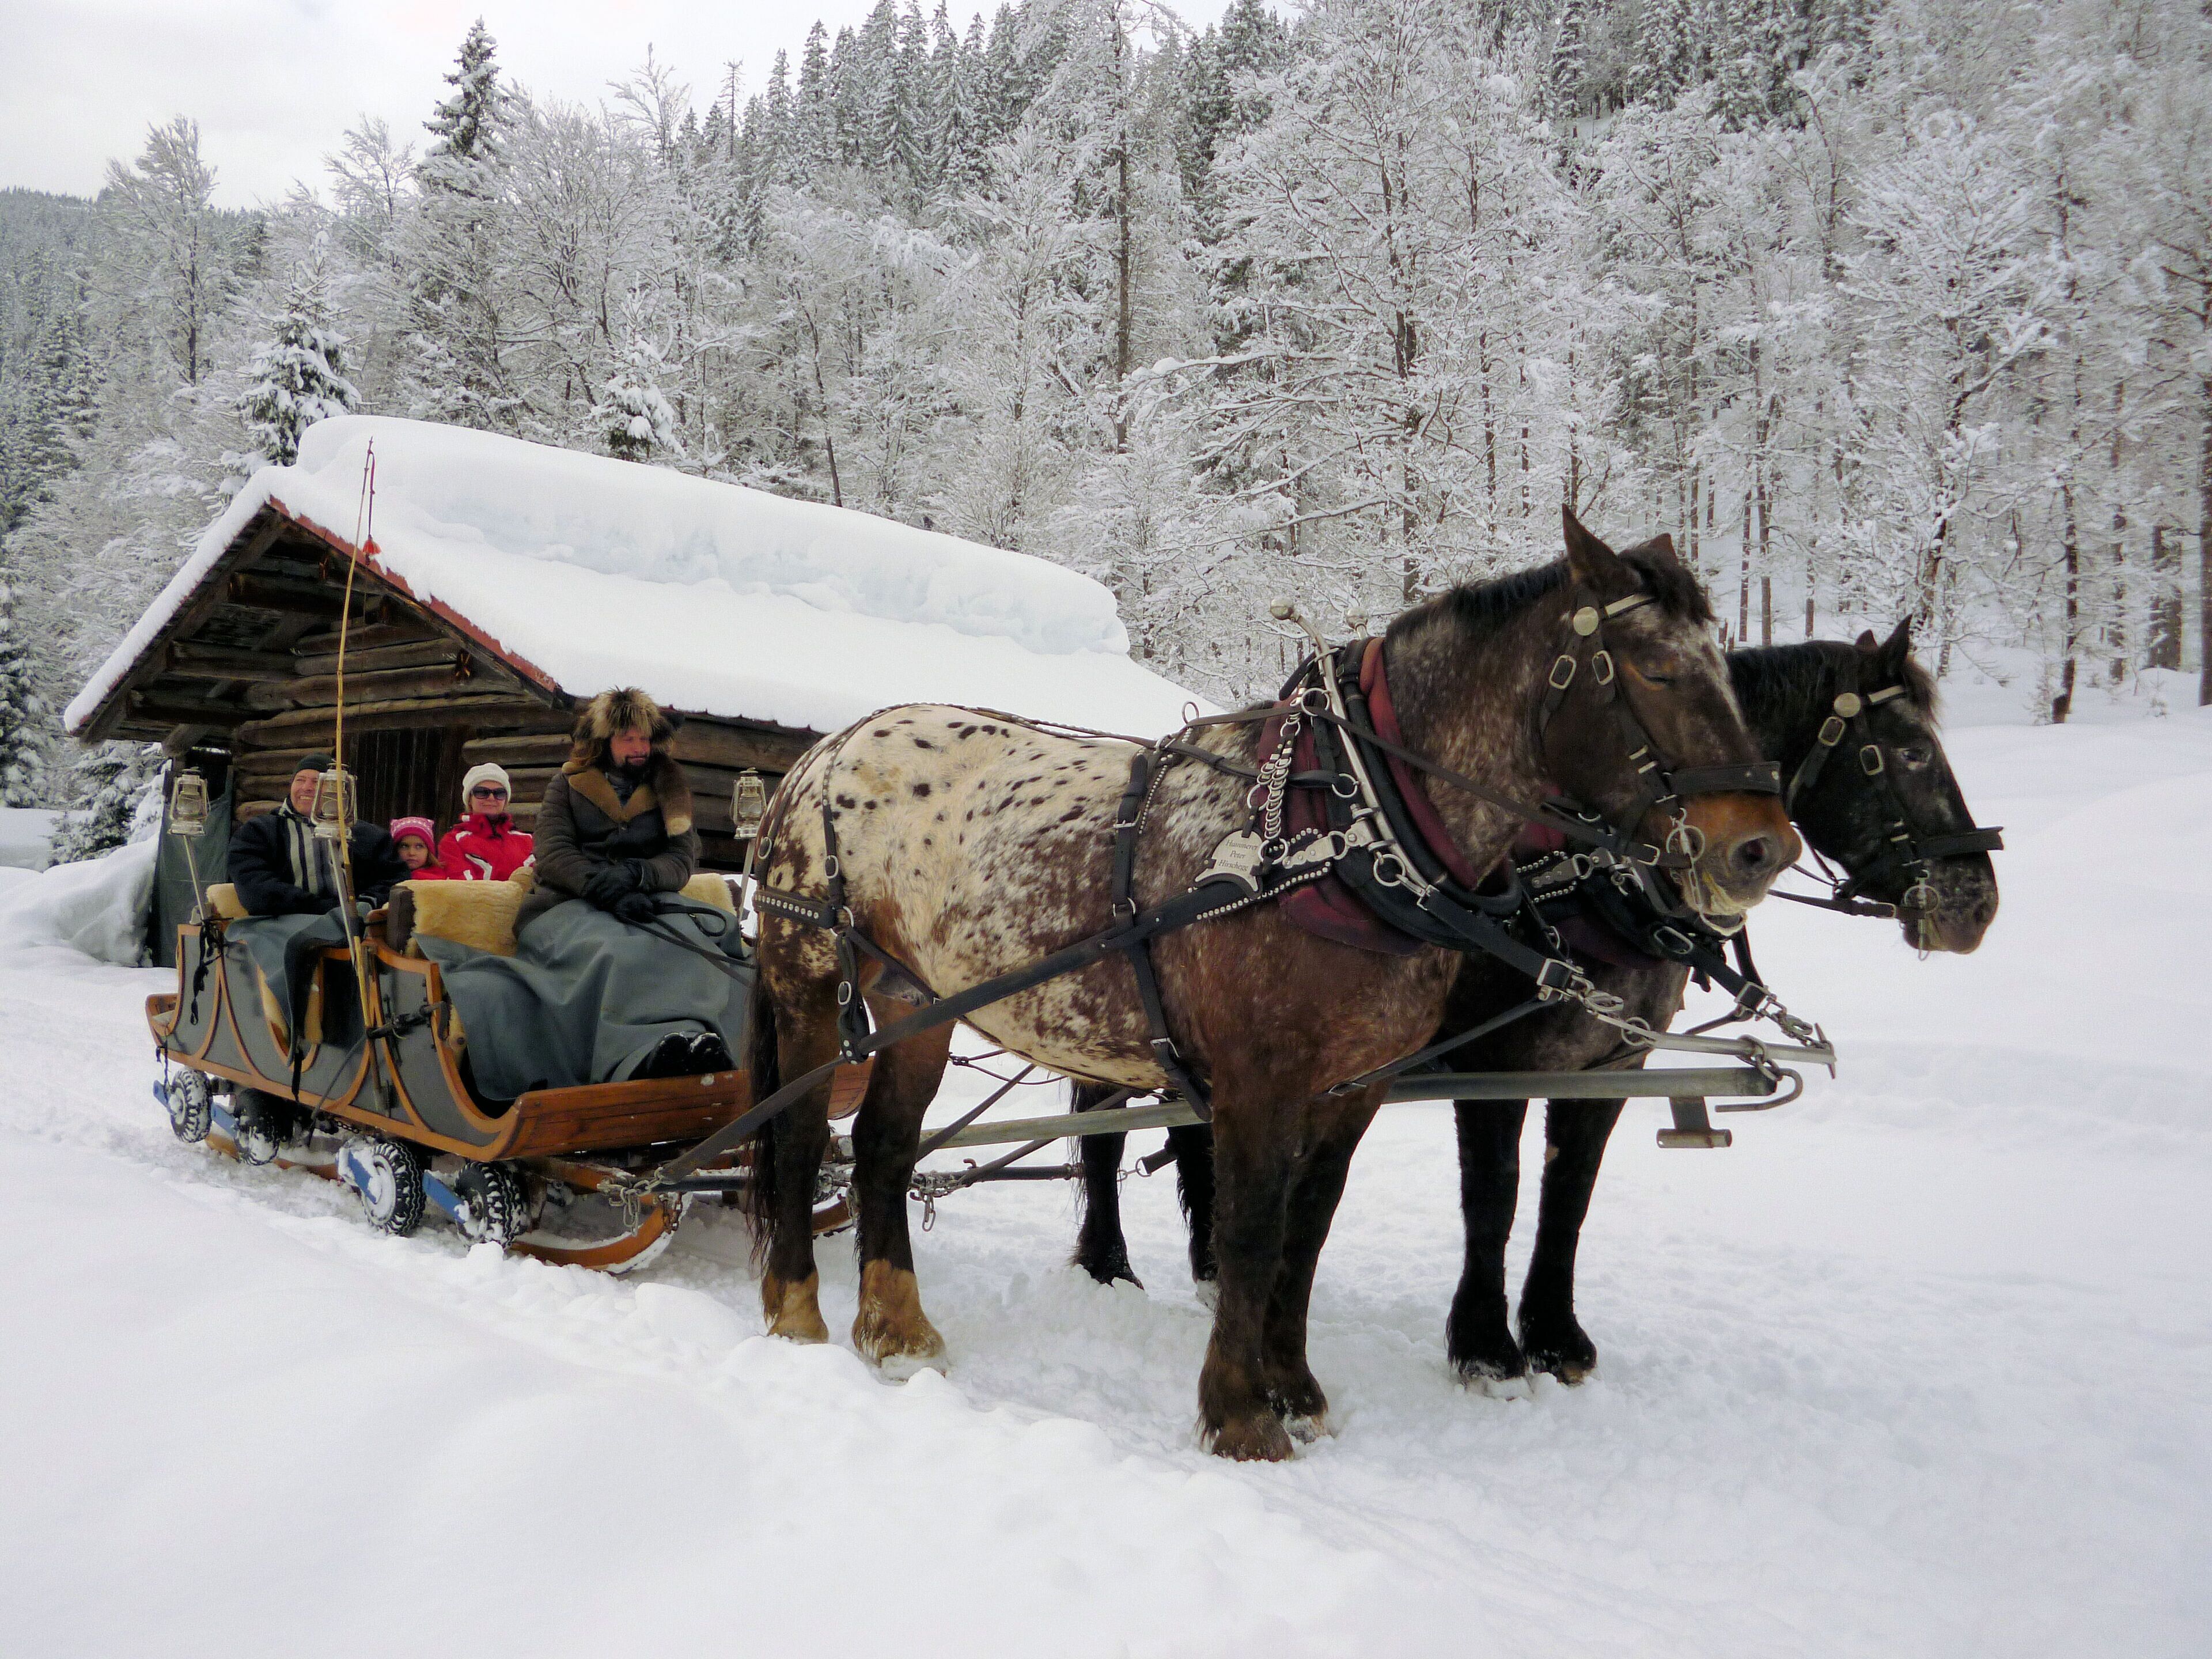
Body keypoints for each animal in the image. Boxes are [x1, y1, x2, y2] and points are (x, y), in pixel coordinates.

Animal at [745, 509, 1798, 1459]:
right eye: (1656, 669)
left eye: (1731, 671)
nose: (1763, 848)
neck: (1338, 830)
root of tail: (824, 752)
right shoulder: (1261, 1080)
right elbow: (1252, 1234)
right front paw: (1239, 1416)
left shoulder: (1354, 1087)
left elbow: (1308, 1232)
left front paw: (1295, 1390)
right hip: (806, 981)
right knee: (798, 1138)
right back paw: (796, 1312)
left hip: (915, 1003)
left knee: (884, 1148)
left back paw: (895, 1329)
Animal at [1069, 620, 2001, 1393]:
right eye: (1908, 754)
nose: (1976, 903)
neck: (1590, 876)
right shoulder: (1497, 1064)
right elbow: (1497, 1196)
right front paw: (1485, 1345)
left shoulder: (1610, 1065)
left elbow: (1568, 1198)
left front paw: (1554, 1335)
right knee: (1098, 1126)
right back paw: (1106, 1262)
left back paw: (1210, 1266)